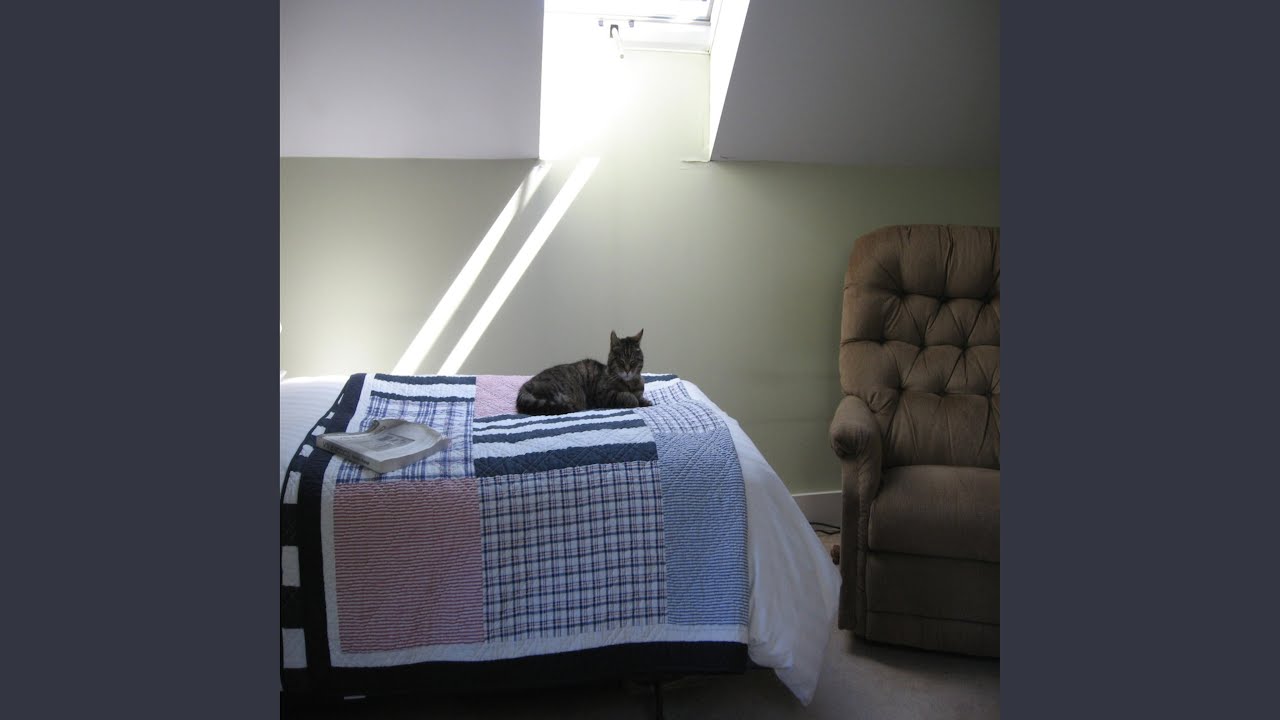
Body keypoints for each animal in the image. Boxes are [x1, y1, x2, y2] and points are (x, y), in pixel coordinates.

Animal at [516, 330, 652, 415]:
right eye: (620, 360)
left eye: (633, 360)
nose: (627, 370)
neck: (631, 384)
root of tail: (524, 386)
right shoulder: (603, 395)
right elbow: (625, 395)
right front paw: (634, 400)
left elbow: (640, 397)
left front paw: (646, 402)